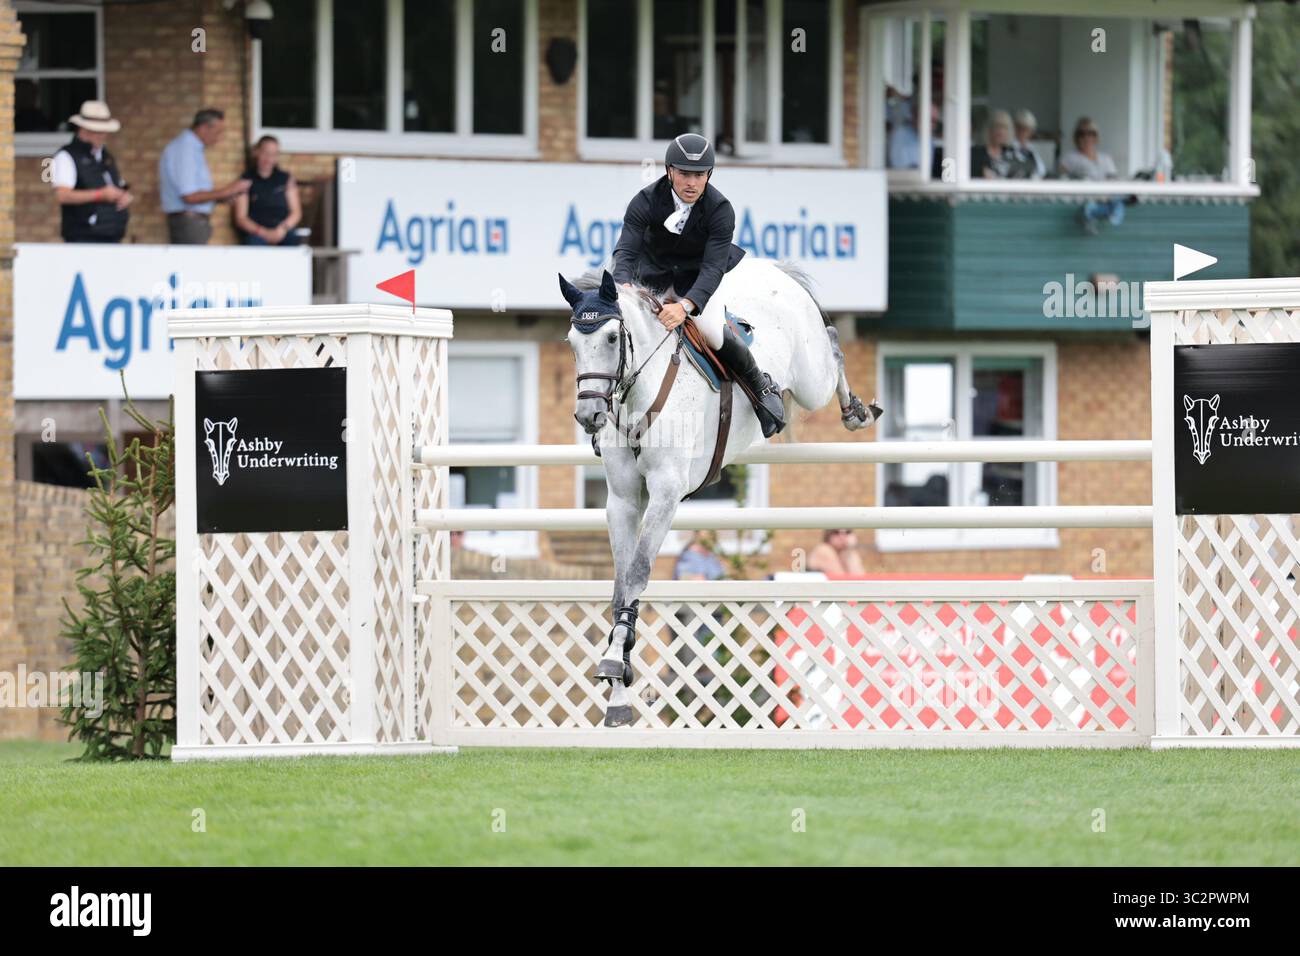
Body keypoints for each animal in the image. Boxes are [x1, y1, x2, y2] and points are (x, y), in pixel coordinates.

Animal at [559, 256, 882, 727]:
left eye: (612, 336)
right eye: (572, 343)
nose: (589, 415)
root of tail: (772, 269)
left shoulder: (666, 493)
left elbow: (638, 572)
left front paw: (616, 662)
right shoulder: (622, 500)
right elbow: (620, 585)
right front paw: (618, 688)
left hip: (811, 379)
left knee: (834, 346)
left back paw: (855, 410)